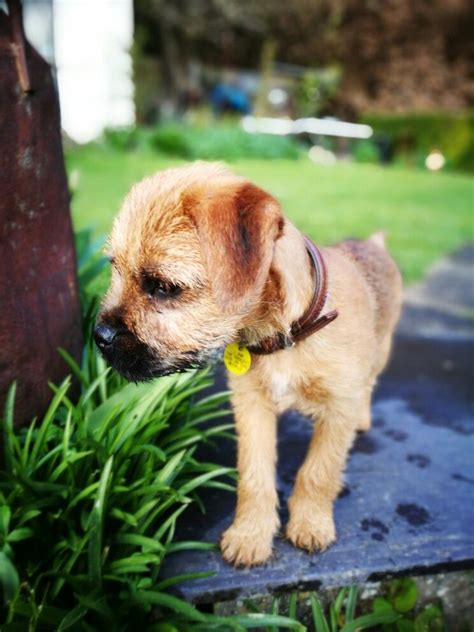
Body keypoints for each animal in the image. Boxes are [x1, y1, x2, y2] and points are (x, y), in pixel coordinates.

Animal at [96, 163, 404, 568]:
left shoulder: (338, 408)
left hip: (381, 351)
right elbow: (254, 476)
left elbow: (318, 471)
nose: (98, 335)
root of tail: (374, 244)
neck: (288, 335)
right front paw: (250, 535)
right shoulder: (252, 406)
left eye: (163, 286)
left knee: (369, 384)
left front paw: (311, 522)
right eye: (114, 268)